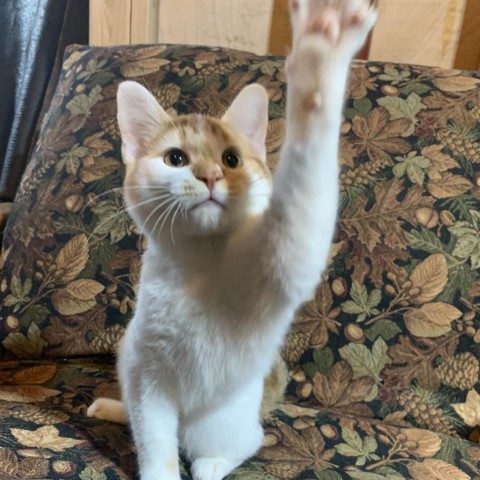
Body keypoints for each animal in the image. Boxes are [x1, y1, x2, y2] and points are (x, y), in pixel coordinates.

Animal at [88, 0, 376, 480]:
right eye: (176, 158)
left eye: (231, 159)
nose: (209, 176)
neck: (199, 265)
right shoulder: (148, 380)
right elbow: (154, 444)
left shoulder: (283, 259)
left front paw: (320, 54)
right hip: (128, 356)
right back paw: (113, 408)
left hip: (221, 423)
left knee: (242, 443)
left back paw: (213, 463)